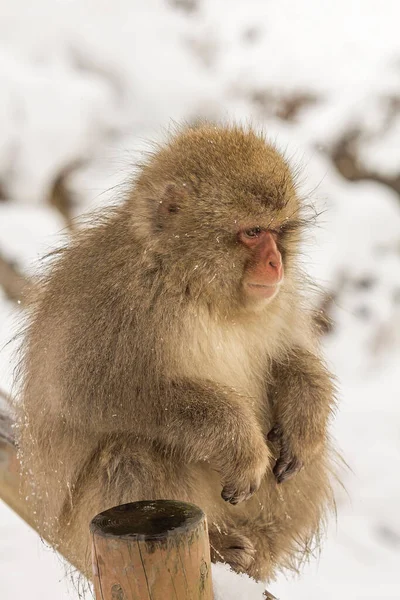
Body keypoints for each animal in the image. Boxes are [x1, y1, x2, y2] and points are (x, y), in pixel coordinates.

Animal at [18, 125, 338, 580]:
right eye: (252, 232)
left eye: (279, 231)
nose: (276, 264)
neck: (192, 284)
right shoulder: (114, 299)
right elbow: (88, 394)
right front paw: (239, 442)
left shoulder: (279, 300)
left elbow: (290, 357)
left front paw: (304, 418)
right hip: (84, 536)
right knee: (131, 451)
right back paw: (222, 547)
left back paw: (256, 545)